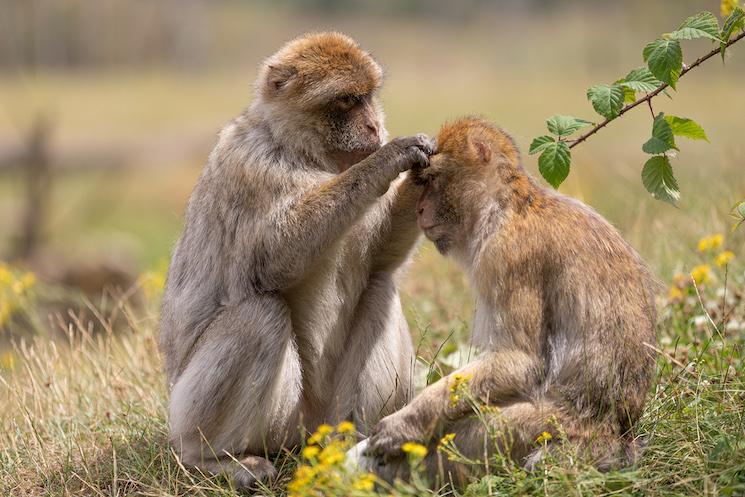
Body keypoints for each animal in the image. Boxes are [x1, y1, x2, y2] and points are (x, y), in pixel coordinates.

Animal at [159, 32, 435, 489]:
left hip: (324, 414)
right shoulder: (249, 165)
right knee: (260, 314)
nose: (374, 127)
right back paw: (211, 459)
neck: (300, 152)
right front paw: (391, 158)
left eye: (368, 97)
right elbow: (271, 261)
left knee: (379, 287)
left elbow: (379, 262)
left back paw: (352, 441)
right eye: (347, 101)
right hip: (208, 413)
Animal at [363, 116, 657, 488]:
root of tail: (616, 440)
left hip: (547, 428)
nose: (419, 209)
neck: (509, 205)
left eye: (431, 180)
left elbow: (519, 361)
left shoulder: (504, 255)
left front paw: (406, 423)